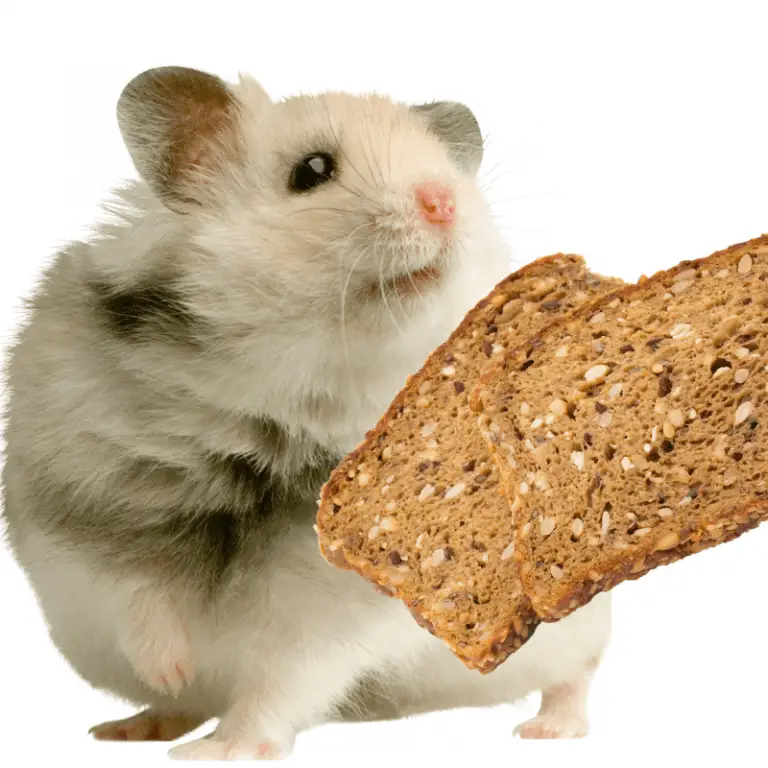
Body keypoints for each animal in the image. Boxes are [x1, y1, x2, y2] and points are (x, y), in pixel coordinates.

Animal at [1, 66, 611, 760]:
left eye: (445, 170)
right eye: (312, 170)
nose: (444, 202)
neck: (282, 397)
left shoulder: (332, 615)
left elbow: (280, 680)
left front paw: (223, 751)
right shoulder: (81, 521)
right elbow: (136, 598)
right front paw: (172, 674)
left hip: (576, 629)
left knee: (578, 674)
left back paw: (548, 730)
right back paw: (135, 725)